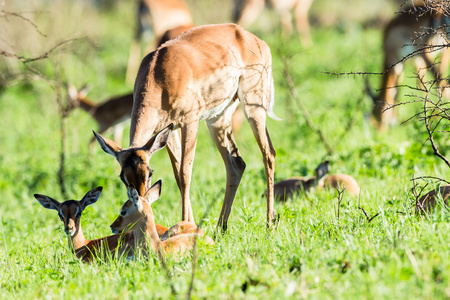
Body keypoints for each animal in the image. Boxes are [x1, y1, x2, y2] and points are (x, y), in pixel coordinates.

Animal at [93, 24, 280, 230]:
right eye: (122, 177)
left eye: (150, 172)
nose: (140, 203)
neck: (159, 75)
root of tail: (250, 36)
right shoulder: (168, 130)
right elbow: (177, 175)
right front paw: (188, 225)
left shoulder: (189, 121)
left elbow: (185, 173)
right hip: (218, 119)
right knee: (236, 164)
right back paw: (220, 229)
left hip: (253, 108)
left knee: (268, 154)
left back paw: (269, 224)